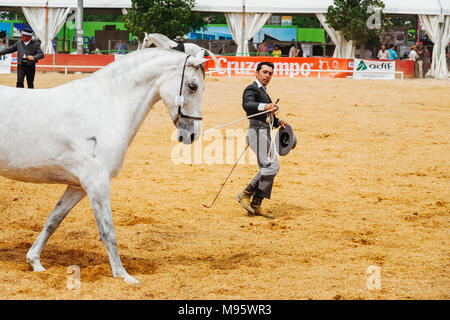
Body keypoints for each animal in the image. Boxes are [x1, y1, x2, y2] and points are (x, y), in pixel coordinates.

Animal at [0, 47, 207, 282]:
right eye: (192, 86)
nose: (192, 135)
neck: (106, 106)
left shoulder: (78, 187)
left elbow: (54, 220)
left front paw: (35, 261)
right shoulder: (97, 184)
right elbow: (108, 231)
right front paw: (123, 275)